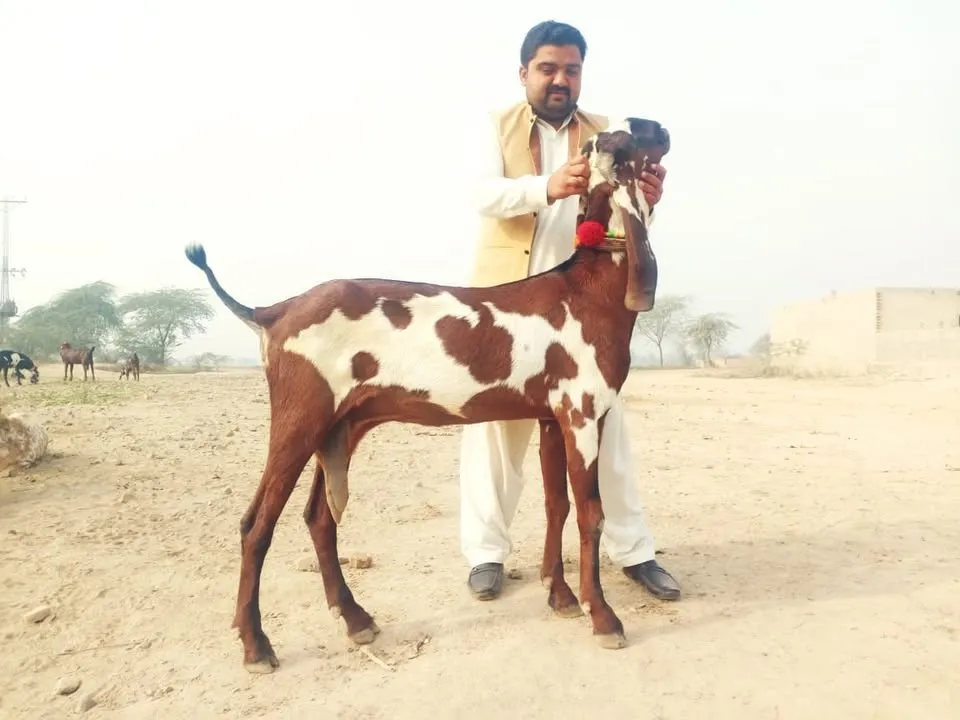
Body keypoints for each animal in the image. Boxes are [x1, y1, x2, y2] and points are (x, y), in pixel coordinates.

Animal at [184, 116, 670, 674]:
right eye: (634, 133)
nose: (664, 128)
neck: (588, 287)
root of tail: (275, 310)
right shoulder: (583, 413)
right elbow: (591, 513)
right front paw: (603, 617)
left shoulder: (552, 416)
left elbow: (557, 505)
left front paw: (561, 596)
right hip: (299, 418)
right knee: (256, 524)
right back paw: (256, 644)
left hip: (340, 427)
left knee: (319, 518)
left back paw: (356, 619)